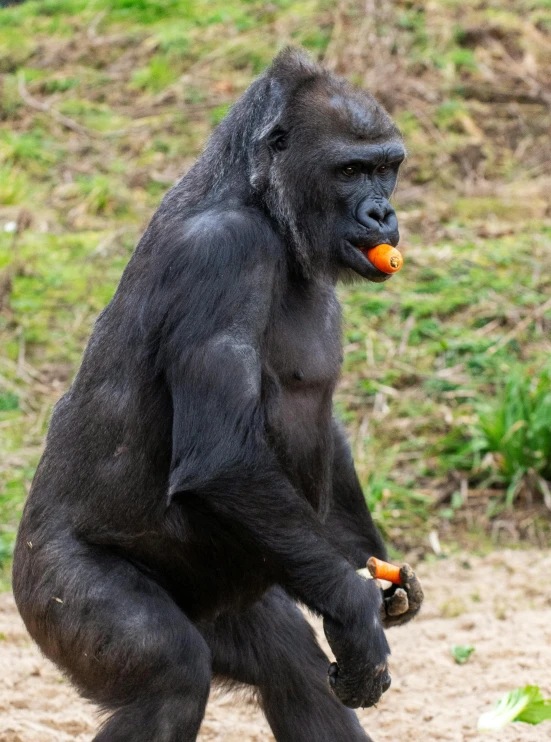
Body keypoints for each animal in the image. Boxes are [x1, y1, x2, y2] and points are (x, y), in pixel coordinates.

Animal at [14, 49, 422, 740]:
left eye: (385, 168)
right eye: (350, 170)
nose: (381, 216)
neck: (256, 196)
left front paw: (372, 565)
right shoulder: (222, 254)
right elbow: (223, 458)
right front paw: (357, 610)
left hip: (236, 597)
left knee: (293, 669)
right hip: (51, 593)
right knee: (170, 678)